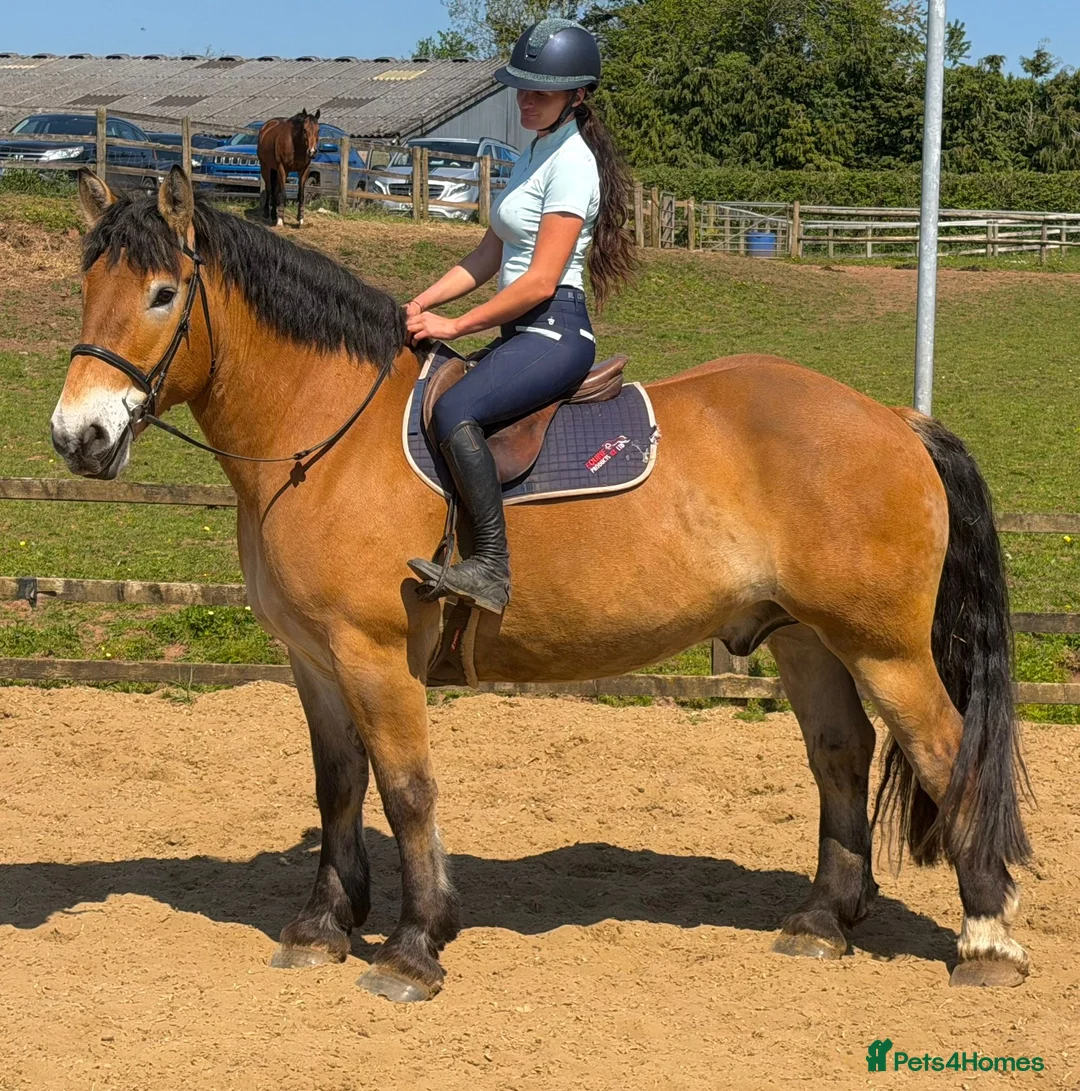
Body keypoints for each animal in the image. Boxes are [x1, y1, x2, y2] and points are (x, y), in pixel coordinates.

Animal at [51, 166, 1033, 1003]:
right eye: (88, 288)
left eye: (163, 294)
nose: (78, 436)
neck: (326, 431)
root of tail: (894, 419)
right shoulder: (313, 658)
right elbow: (338, 786)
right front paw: (322, 925)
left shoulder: (375, 655)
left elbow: (407, 789)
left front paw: (415, 944)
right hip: (805, 637)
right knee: (840, 753)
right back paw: (824, 920)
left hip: (884, 646)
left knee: (948, 751)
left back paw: (987, 936)